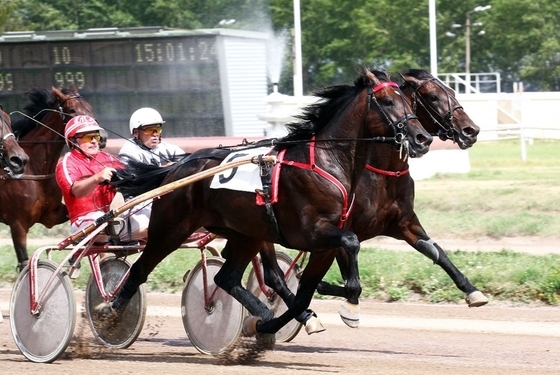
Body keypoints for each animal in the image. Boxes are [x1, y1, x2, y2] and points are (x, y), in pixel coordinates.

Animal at [1, 86, 93, 272]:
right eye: (72, 110)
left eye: (89, 108)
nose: (100, 137)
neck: (36, 170)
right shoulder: (17, 224)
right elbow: (24, 262)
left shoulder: (50, 215)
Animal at [98, 70, 434, 340]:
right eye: (388, 102)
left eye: (409, 102)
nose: (422, 138)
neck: (327, 162)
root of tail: (178, 167)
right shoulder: (313, 232)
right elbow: (349, 245)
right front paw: (345, 305)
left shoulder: (325, 243)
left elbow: (305, 293)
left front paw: (276, 321)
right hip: (171, 228)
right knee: (139, 269)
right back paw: (109, 312)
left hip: (245, 234)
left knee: (226, 277)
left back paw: (262, 312)